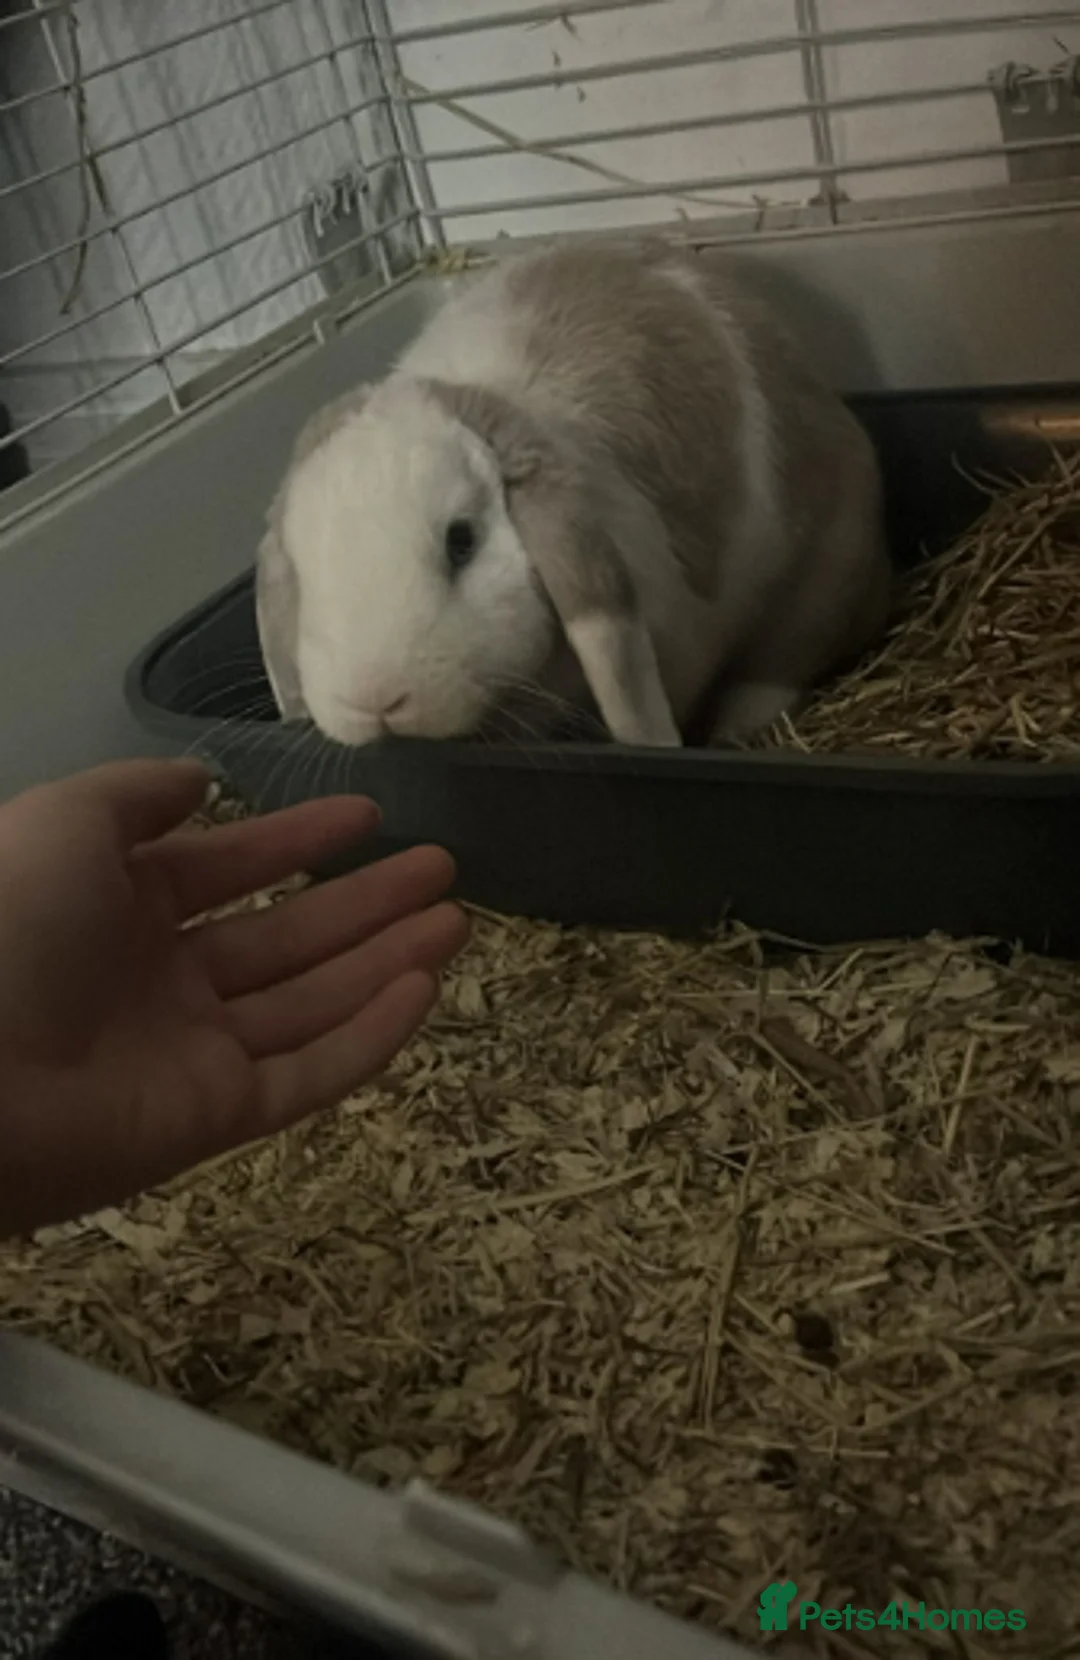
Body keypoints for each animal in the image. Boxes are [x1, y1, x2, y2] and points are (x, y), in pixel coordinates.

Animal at [255, 236, 893, 750]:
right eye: (304, 567)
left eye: (462, 542)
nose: (375, 699)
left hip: (823, 573)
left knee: (781, 664)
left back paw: (736, 727)